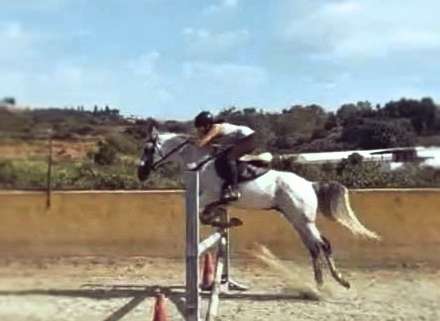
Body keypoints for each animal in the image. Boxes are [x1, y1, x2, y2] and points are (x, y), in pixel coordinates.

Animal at [139, 127, 380, 288]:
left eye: (147, 149)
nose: (140, 174)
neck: (201, 163)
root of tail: (310, 184)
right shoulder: (213, 199)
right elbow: (209, 215)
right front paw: (230, 221)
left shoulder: (209, 195)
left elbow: (202, 215)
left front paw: (231, 221)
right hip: (295, 219)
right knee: (314, 247)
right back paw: (319, 284)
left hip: (303, 219)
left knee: (323, 244)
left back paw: (339, 281)